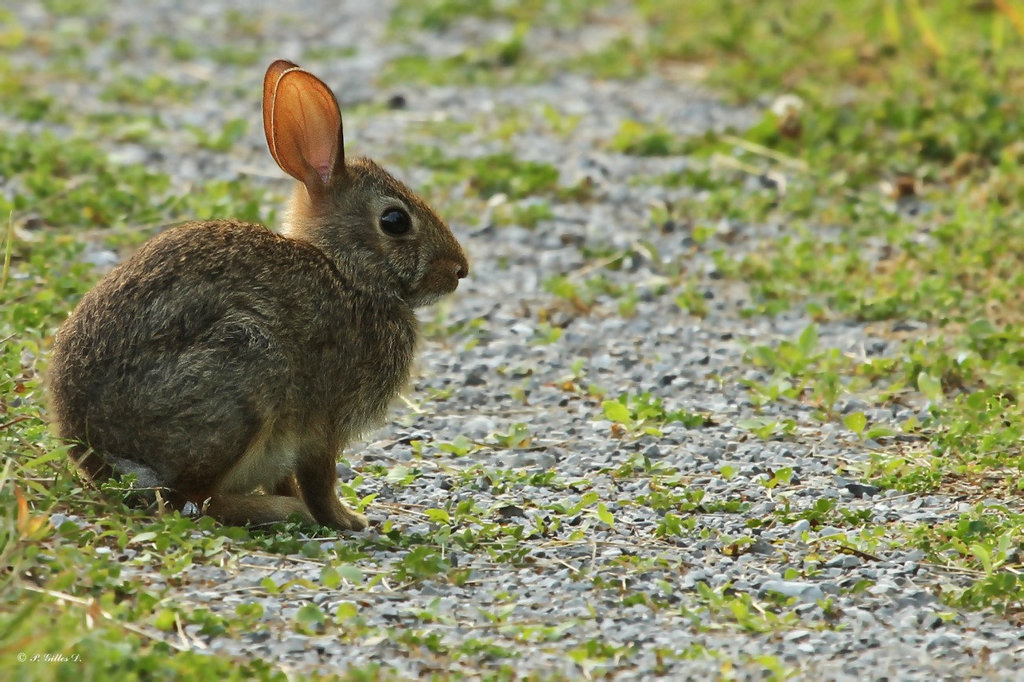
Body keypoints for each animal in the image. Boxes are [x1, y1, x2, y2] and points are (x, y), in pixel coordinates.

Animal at [45, 59, 468, 532]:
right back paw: (282, 512)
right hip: (244, 370)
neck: (346, 272)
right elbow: (319, 480)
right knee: (195, 499)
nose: (458, 270)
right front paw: (348, 520)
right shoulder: (323, 425)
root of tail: (99, 452)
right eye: (395, 221)